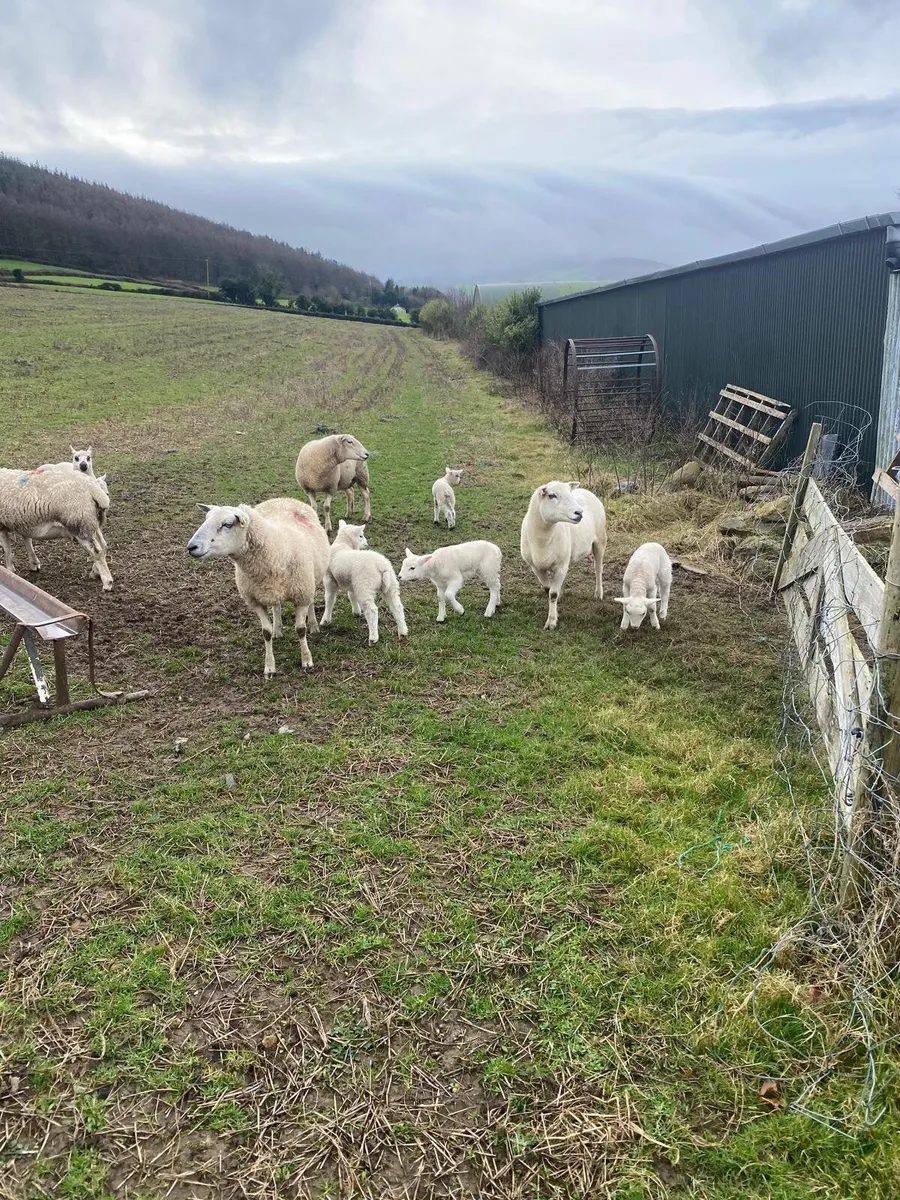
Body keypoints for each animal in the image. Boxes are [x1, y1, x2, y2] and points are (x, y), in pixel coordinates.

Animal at [187, 498, 330, 677]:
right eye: (205, 519)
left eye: (227, 524)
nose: (191, 547)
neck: (276, 549)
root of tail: (282, 499)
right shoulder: (255, 601)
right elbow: (265, 633)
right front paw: (269, 667)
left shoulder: (302, 594)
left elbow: (300, 629)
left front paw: (307, 660)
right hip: (272, 590)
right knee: (276, 606)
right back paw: (278, 630)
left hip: (311, 579)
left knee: (310, 602)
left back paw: (313, 625)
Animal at [520, 480, 606, 630]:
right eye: (551, 495)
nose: (579, 512)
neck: (543, 540)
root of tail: (586, 490)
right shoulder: (536, 567)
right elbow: (548, 590)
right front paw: (555, 609)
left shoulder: (560, 565)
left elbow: (552, 594)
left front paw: (551, 621)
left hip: (600, 541)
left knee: (598, 569)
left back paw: (598, 593)